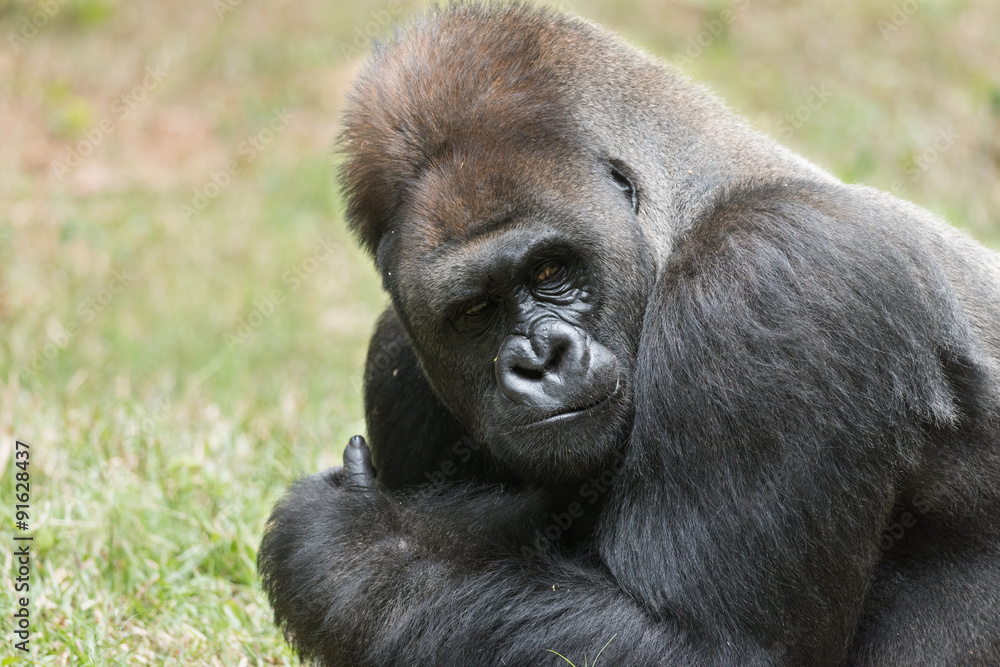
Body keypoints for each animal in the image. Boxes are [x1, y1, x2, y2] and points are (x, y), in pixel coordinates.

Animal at [258, 3, 1000, 664]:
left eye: (551, 269)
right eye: (474, 310)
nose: (540, 360)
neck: (679, 216)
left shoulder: (774, 277)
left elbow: (716, 647)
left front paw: (352, 550)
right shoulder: (399, 360)